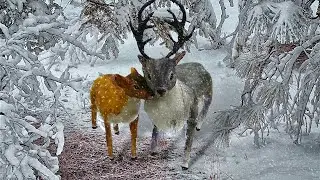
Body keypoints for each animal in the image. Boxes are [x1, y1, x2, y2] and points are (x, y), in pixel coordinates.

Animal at [127, 0, 212, 169]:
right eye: (149, 75)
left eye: (172, 74)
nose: (160, 90)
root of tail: (199, 65)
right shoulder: (156, 118)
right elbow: (154, 132)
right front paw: (153, 151)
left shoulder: (191, 112)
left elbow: (188, 142)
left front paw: (185, 164)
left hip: (208, 89)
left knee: (207, 103)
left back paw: (200, 124)